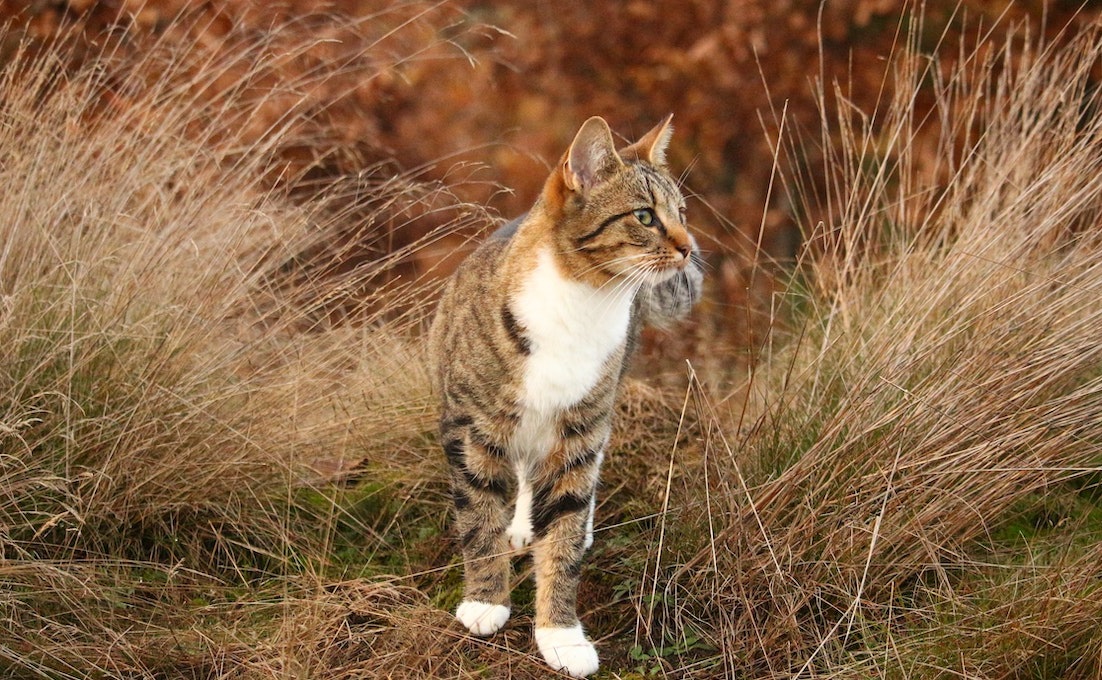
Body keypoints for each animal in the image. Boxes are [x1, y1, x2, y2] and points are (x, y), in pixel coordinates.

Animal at [425, 114, 700, 674]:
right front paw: (485, 601)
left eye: (681, 213)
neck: (586, 302)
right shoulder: (471, 430)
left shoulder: (579, 432)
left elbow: (566, 535)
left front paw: (561, 635)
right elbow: (478, 519)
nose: (690, 248)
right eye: (644, 216)